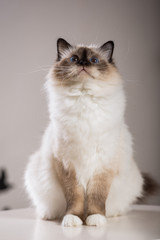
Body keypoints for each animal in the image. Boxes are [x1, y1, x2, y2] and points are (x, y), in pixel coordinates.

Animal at [24, 38, 155, 227]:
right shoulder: (67, 164)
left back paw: (112, 214)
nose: (84, 63)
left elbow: (97, 197)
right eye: (74, 59)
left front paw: (95, 219)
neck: (84, 99)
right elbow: (74, 197)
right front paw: (73, 219)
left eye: (94, 60)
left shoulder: (104, 164)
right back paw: (48, 215)